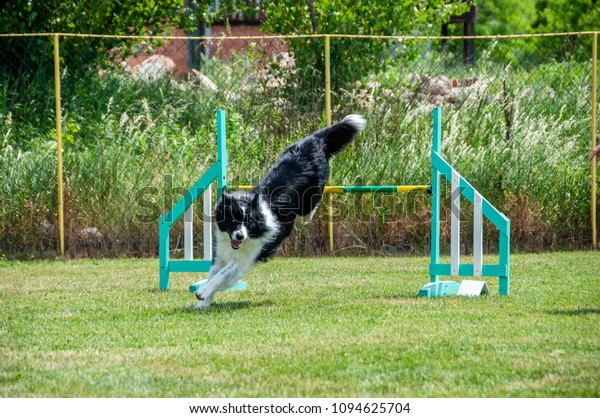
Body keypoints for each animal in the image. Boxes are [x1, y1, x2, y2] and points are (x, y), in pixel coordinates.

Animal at [197, 114, 366, 306]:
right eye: (233, 219)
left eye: (249, 222)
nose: (240, 236)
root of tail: (315, 140)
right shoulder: (221, 254)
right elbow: (213, 274)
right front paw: (203, 302)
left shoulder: (244, 260)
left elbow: (220, 277)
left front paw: (202, 292)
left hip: (312, 192)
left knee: (311, 205)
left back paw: (307, 217)